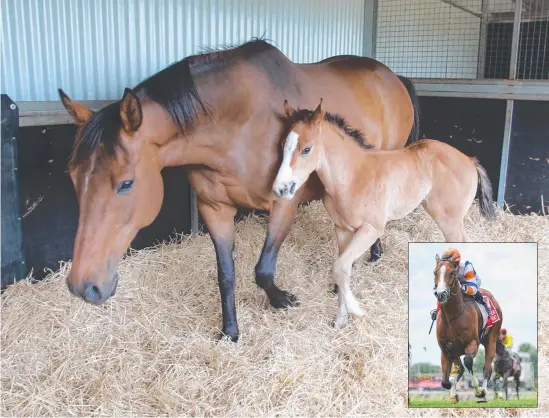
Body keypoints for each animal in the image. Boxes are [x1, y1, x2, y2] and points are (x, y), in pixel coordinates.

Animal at [57, 38, 418, 342]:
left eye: (126, 183)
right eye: (72, 177)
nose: (83, 286)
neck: (238, 127)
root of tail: (392, 76)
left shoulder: (284, 203)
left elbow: (263, 270)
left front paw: (281, 299)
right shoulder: (214, 209)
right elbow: (226, 274)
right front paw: (230, 330)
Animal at [272, 99, 496, 328]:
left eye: (306, 149)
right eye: (282, 146)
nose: (281, 188)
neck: (352, 176)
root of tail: (469, 159)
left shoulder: (371, 229)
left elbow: (340, 267)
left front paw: (356, 310)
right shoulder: (342, 229)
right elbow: (342, 270)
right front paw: (341, 321)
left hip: (449, 220)